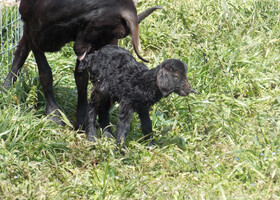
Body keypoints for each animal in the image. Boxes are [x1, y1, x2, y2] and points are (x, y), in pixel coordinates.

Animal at [2, 0, 162, 128]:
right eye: (120, 34)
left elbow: (81, 77)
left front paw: (82, 120)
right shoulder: (32, 30)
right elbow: (45, 73)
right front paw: (54, 116)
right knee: (22, 50)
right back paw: (6, 89)